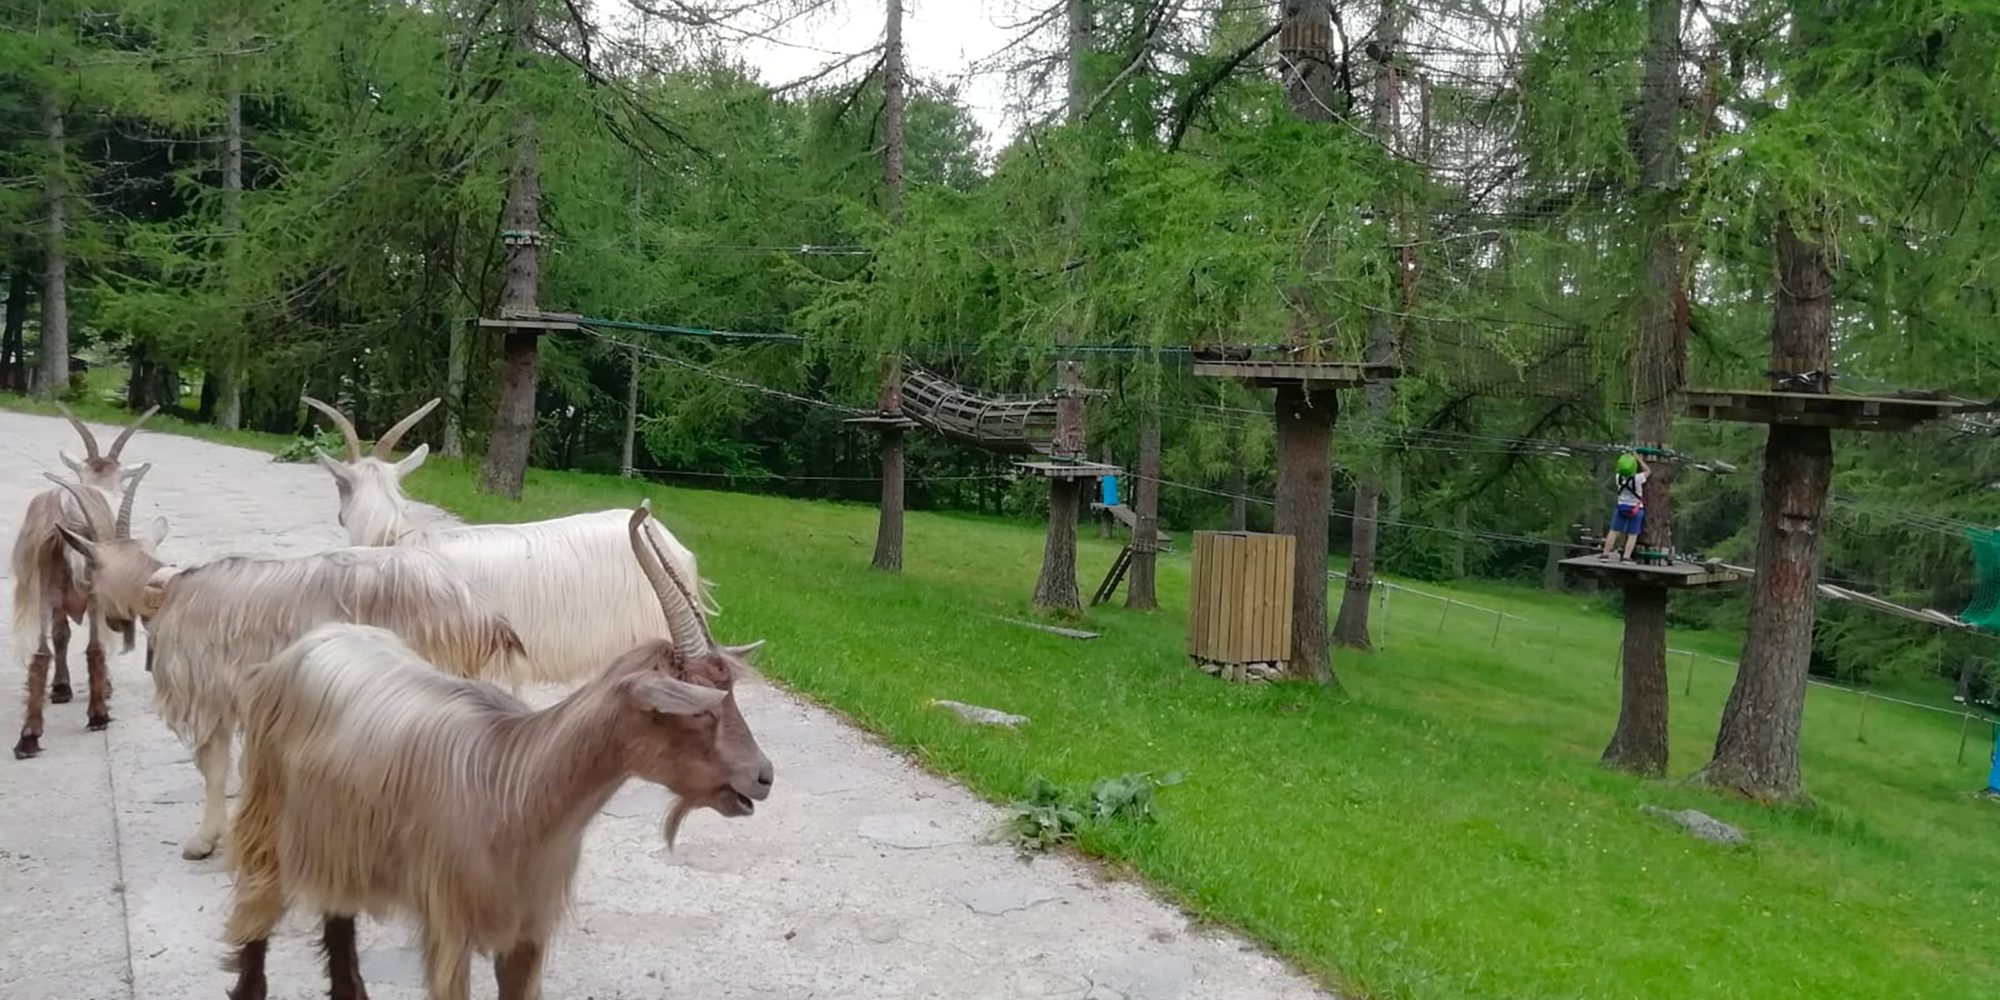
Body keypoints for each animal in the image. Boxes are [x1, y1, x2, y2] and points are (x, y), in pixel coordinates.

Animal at [52, 486, 524, 860]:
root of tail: (477, 611)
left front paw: (203, 842)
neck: (168, 590)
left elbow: (214, 768)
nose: (107, 620)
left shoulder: (209, 694)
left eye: (90, 570)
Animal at [225, 504, 772, 1000]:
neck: (516, 784)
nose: (764, 776)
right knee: (255, 913)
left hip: (340, 838)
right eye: (701, 709)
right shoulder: (450, 926)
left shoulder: (528, 933)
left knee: (337, 915)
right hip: (268, 815)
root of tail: (311, 641)